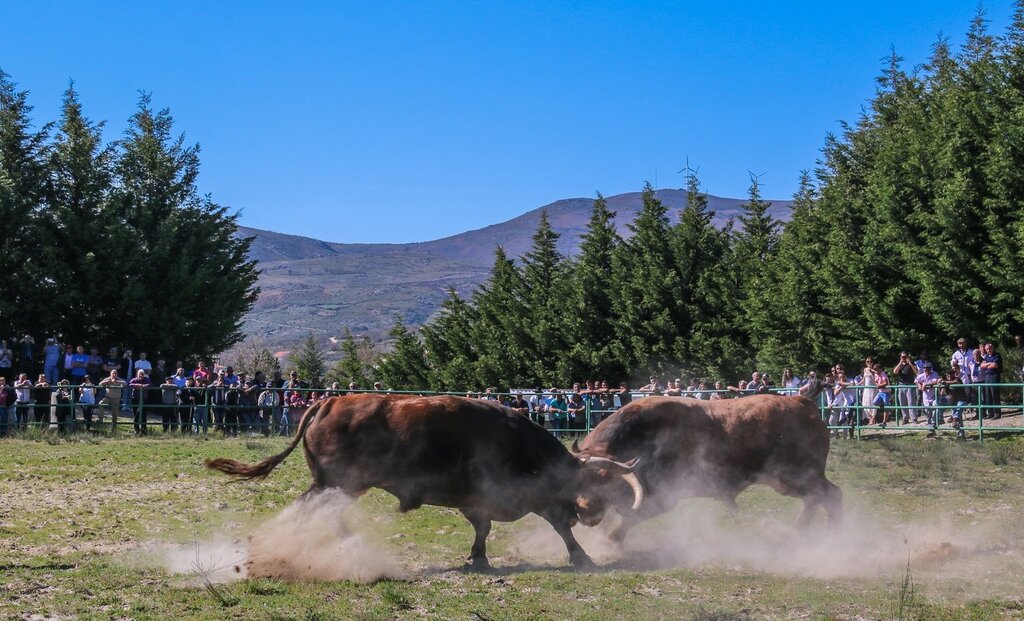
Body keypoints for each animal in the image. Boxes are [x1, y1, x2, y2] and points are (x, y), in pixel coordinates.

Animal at [204, 393, 638, 569]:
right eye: (587, 484)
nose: (589, 516)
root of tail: (328, 402)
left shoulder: (476, 501)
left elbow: (483, 527)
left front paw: (478, 557)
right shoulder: (530, 498)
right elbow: (557, 526)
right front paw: (582, 556)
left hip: (340, 486)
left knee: (322, 513)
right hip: (336, 484)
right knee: (309, 511)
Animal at [573, 393, 843, 545]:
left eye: (606, 479)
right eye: (580, 481)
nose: (584, 510)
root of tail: (803, 404)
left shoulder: (664, 497)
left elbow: (632, 518)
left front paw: (612, 541)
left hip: (795, 477)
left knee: (831, 495)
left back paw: (830, 536)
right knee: (816, 499)